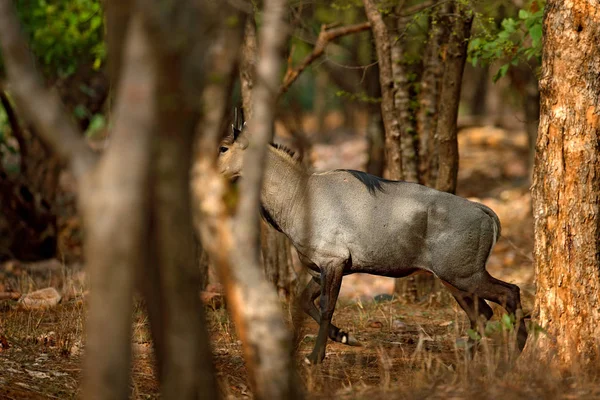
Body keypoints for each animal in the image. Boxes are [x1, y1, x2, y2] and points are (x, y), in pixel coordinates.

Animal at [219, 108, 524, 364]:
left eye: (223, 147)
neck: (298, 198)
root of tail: (486, 213)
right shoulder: (321, 268)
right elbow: (303, 301)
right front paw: (346, 337)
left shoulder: (334, 262)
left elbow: (327, 306)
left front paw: (316, 356)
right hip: (453, 279)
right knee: (482, 313)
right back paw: (467, 360)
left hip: (463, 274)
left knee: (509, 293)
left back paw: (514, 355)